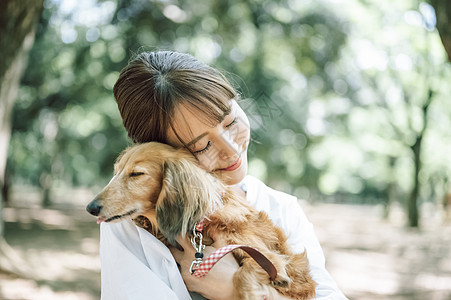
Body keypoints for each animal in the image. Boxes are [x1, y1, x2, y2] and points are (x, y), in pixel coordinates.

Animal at [86, 142, 316, 298]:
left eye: (136, 174)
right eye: (115, 172)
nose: (91, 208)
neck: (201, 223)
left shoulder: (270, 258)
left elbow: (242, 274)